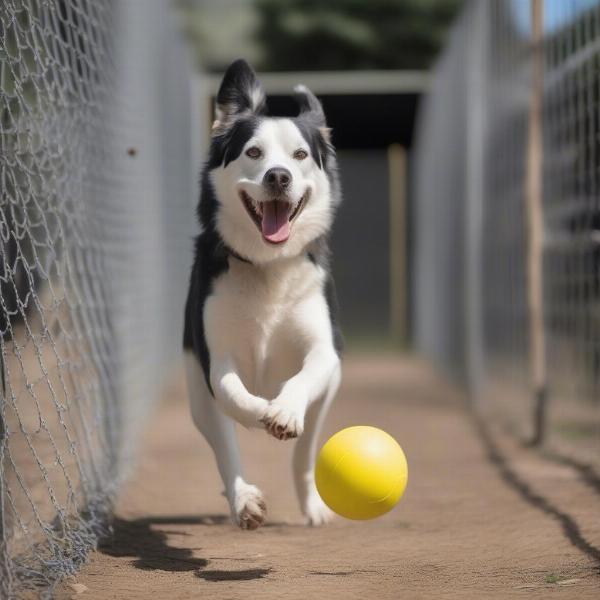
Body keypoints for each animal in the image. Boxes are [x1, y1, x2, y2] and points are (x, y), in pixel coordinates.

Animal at [183, 59, 342, 528]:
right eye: (253, 152)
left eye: (300, 155)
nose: (278, 176)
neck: (267, 265)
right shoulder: (214, 360)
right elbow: (233, 395)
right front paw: (261, 415)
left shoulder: (325, 353)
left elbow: (305, 374)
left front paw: (284, 411)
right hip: (198, 401)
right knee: (225, 446)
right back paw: (243, 500)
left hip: (327, 396)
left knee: (305, 453)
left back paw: (313, 506)